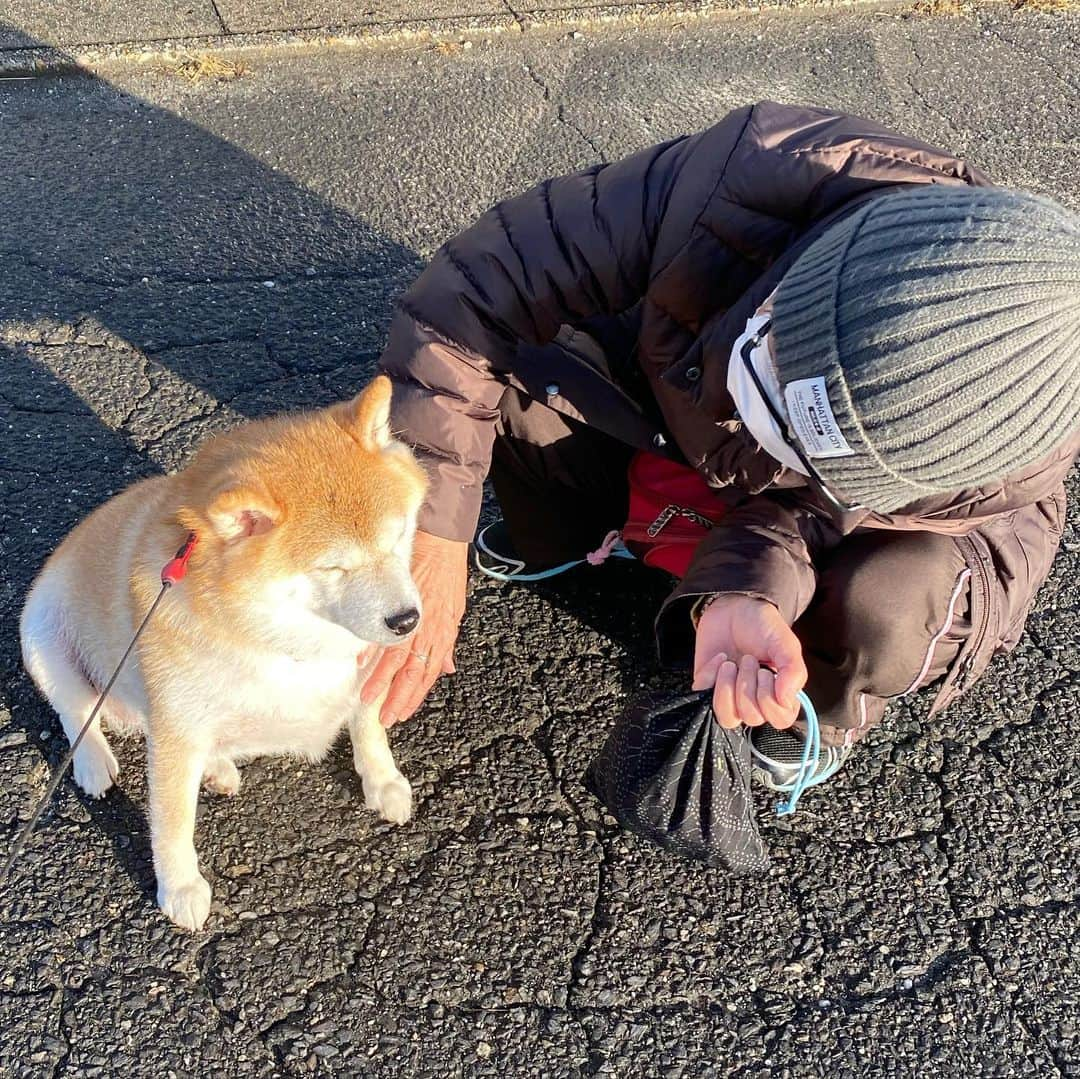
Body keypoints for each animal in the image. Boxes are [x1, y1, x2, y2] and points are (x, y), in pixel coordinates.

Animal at [19, 378, 425, 928]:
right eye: (333, 568)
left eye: (398, 534)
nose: (407, 621)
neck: (281, 639)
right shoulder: (173, 732)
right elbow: (171, 823)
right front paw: (179, 886)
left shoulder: (364, 668)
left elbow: (368, 723)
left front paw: (382, 780)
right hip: (41, 636)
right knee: (76, 711)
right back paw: (94, 762)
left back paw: (216, 766)